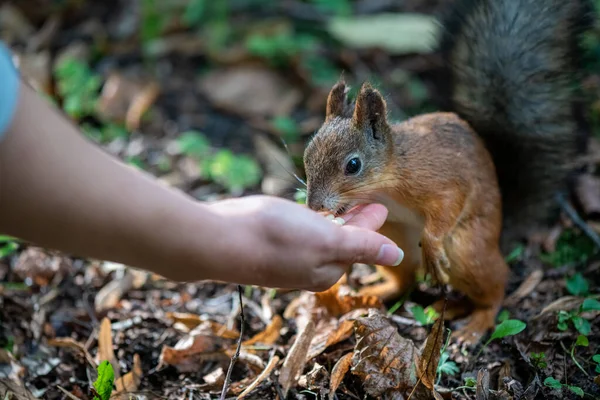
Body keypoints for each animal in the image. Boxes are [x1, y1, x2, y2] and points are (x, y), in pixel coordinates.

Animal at [302, 0, 592, 346]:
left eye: (353, 165)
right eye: (307, 154)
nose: (314, 206)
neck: (388, 179)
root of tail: (499, 234)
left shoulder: (440, 181)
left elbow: (449, 205)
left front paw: (431, 243)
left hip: (468, 252)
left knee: (496, 287)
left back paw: (475, 323)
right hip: (395, 241)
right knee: (405, 280)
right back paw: (381, 292)